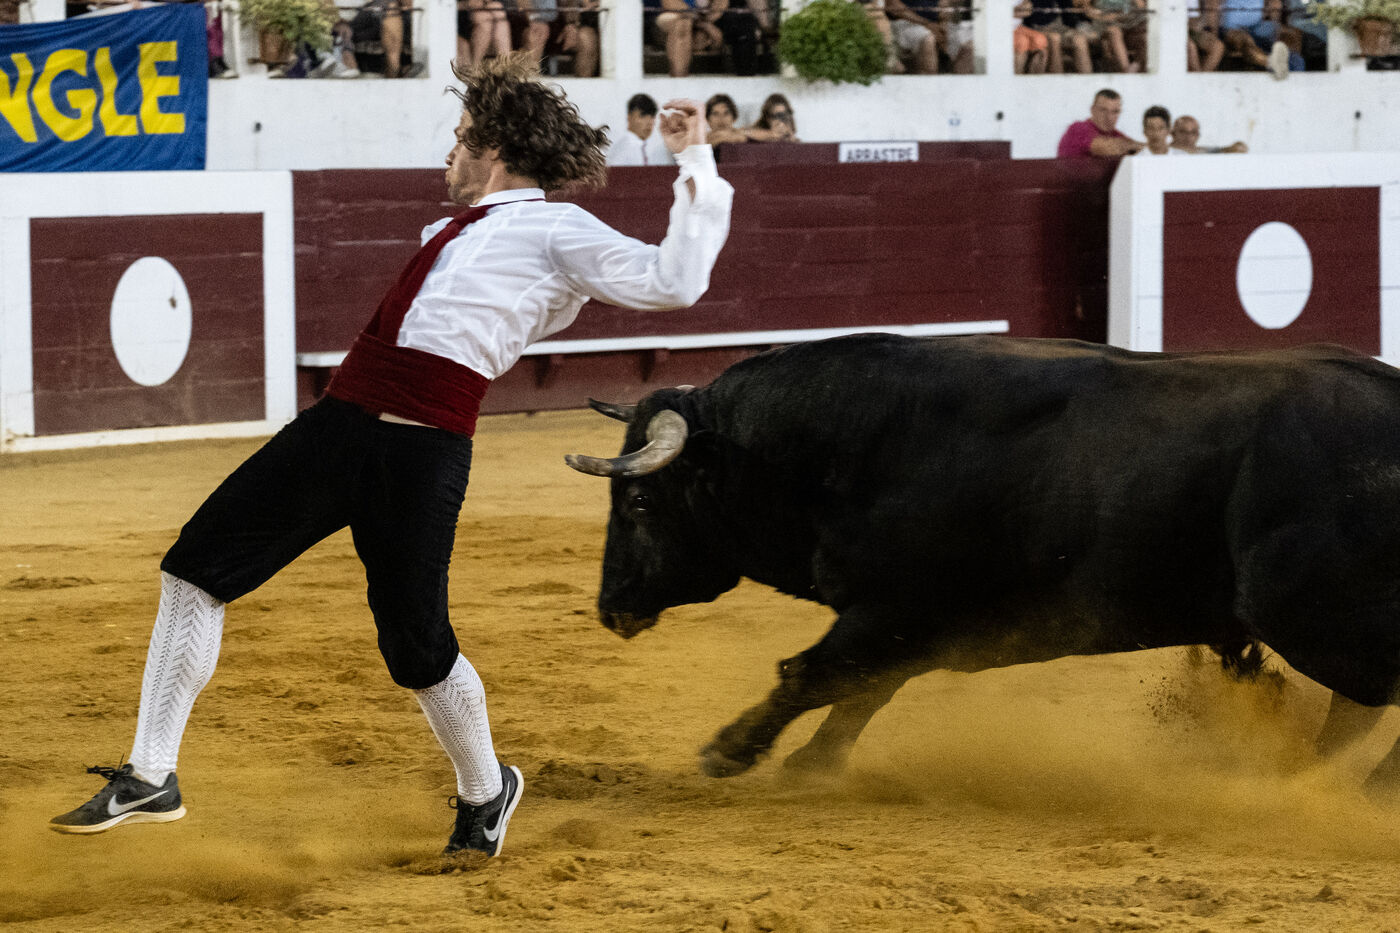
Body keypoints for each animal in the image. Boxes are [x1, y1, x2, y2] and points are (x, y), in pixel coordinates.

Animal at [564, 334, 1400, 791]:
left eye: (638, 503)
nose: (612, 607)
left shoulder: (895, 609)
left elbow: (812, 673)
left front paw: (728, 751)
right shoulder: (909, 625)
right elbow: (860, 690)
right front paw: (813, 763)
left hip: (1311, 617)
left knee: (1368, 703)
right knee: (1350, 717)